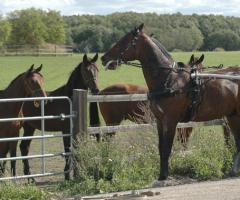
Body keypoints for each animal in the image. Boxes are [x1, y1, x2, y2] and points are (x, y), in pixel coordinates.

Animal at [20, 52, 99, 180]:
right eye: (86, 70)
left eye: (97, 69)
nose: (96, 89)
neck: (69, 98)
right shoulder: (65, 130)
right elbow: (67, 150)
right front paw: (67, 176)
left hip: (29, 127)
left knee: (24, 147)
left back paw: (30, 177)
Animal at [101, 23, 240, 181]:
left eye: (125, 41)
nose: (104, 58)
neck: (169, 80)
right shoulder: (160, 121)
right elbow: (161, 148)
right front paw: (161, 175)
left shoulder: (171, 121)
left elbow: (167, 148)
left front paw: (165, 176)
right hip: (232, 116)